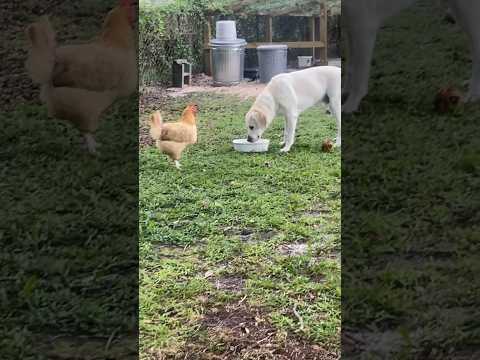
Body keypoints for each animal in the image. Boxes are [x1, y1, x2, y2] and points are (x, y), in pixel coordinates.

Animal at [342, 0, 480, 112]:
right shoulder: (350, 25)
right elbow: (351, 67)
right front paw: (344, 92)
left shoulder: (363, 26)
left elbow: (359, 75)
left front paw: (351, 104)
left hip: (467, 11)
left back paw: (473, 94)